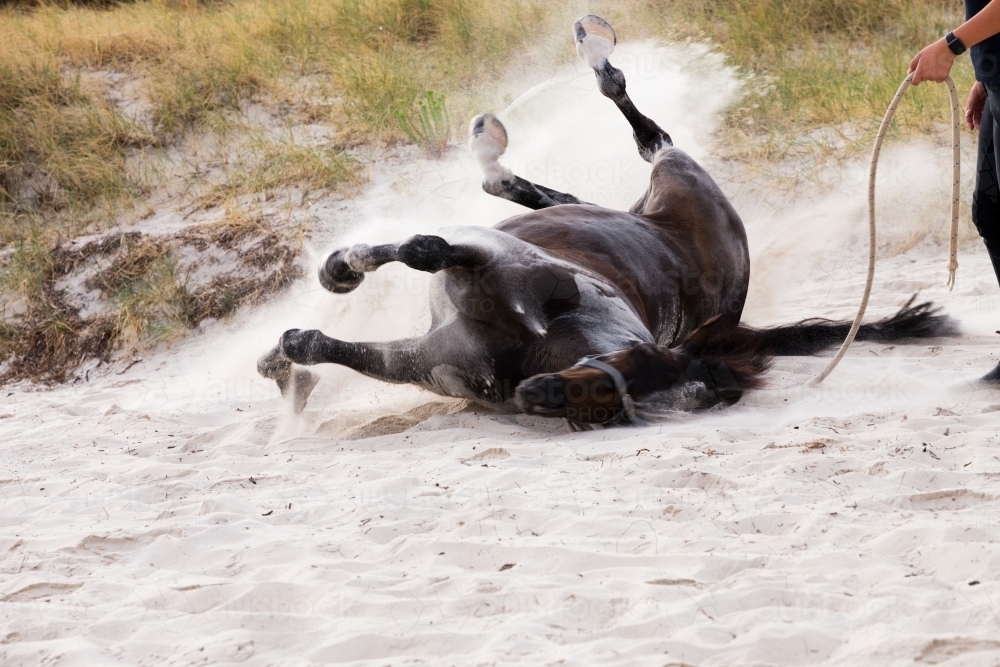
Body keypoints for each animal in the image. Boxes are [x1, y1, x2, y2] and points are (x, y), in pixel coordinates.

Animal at [256, 15, 952, 428]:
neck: (530, 335)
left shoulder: (417, 358)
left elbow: (318, 343)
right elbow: (422, 248)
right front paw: (338, 274)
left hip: (651, 194)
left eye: (624, 403)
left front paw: (286, 369)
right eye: (635, 364)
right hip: (676, 176)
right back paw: (589, 52)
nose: (535, 394)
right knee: (645, 137)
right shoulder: (479, 257)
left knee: (562, 181)